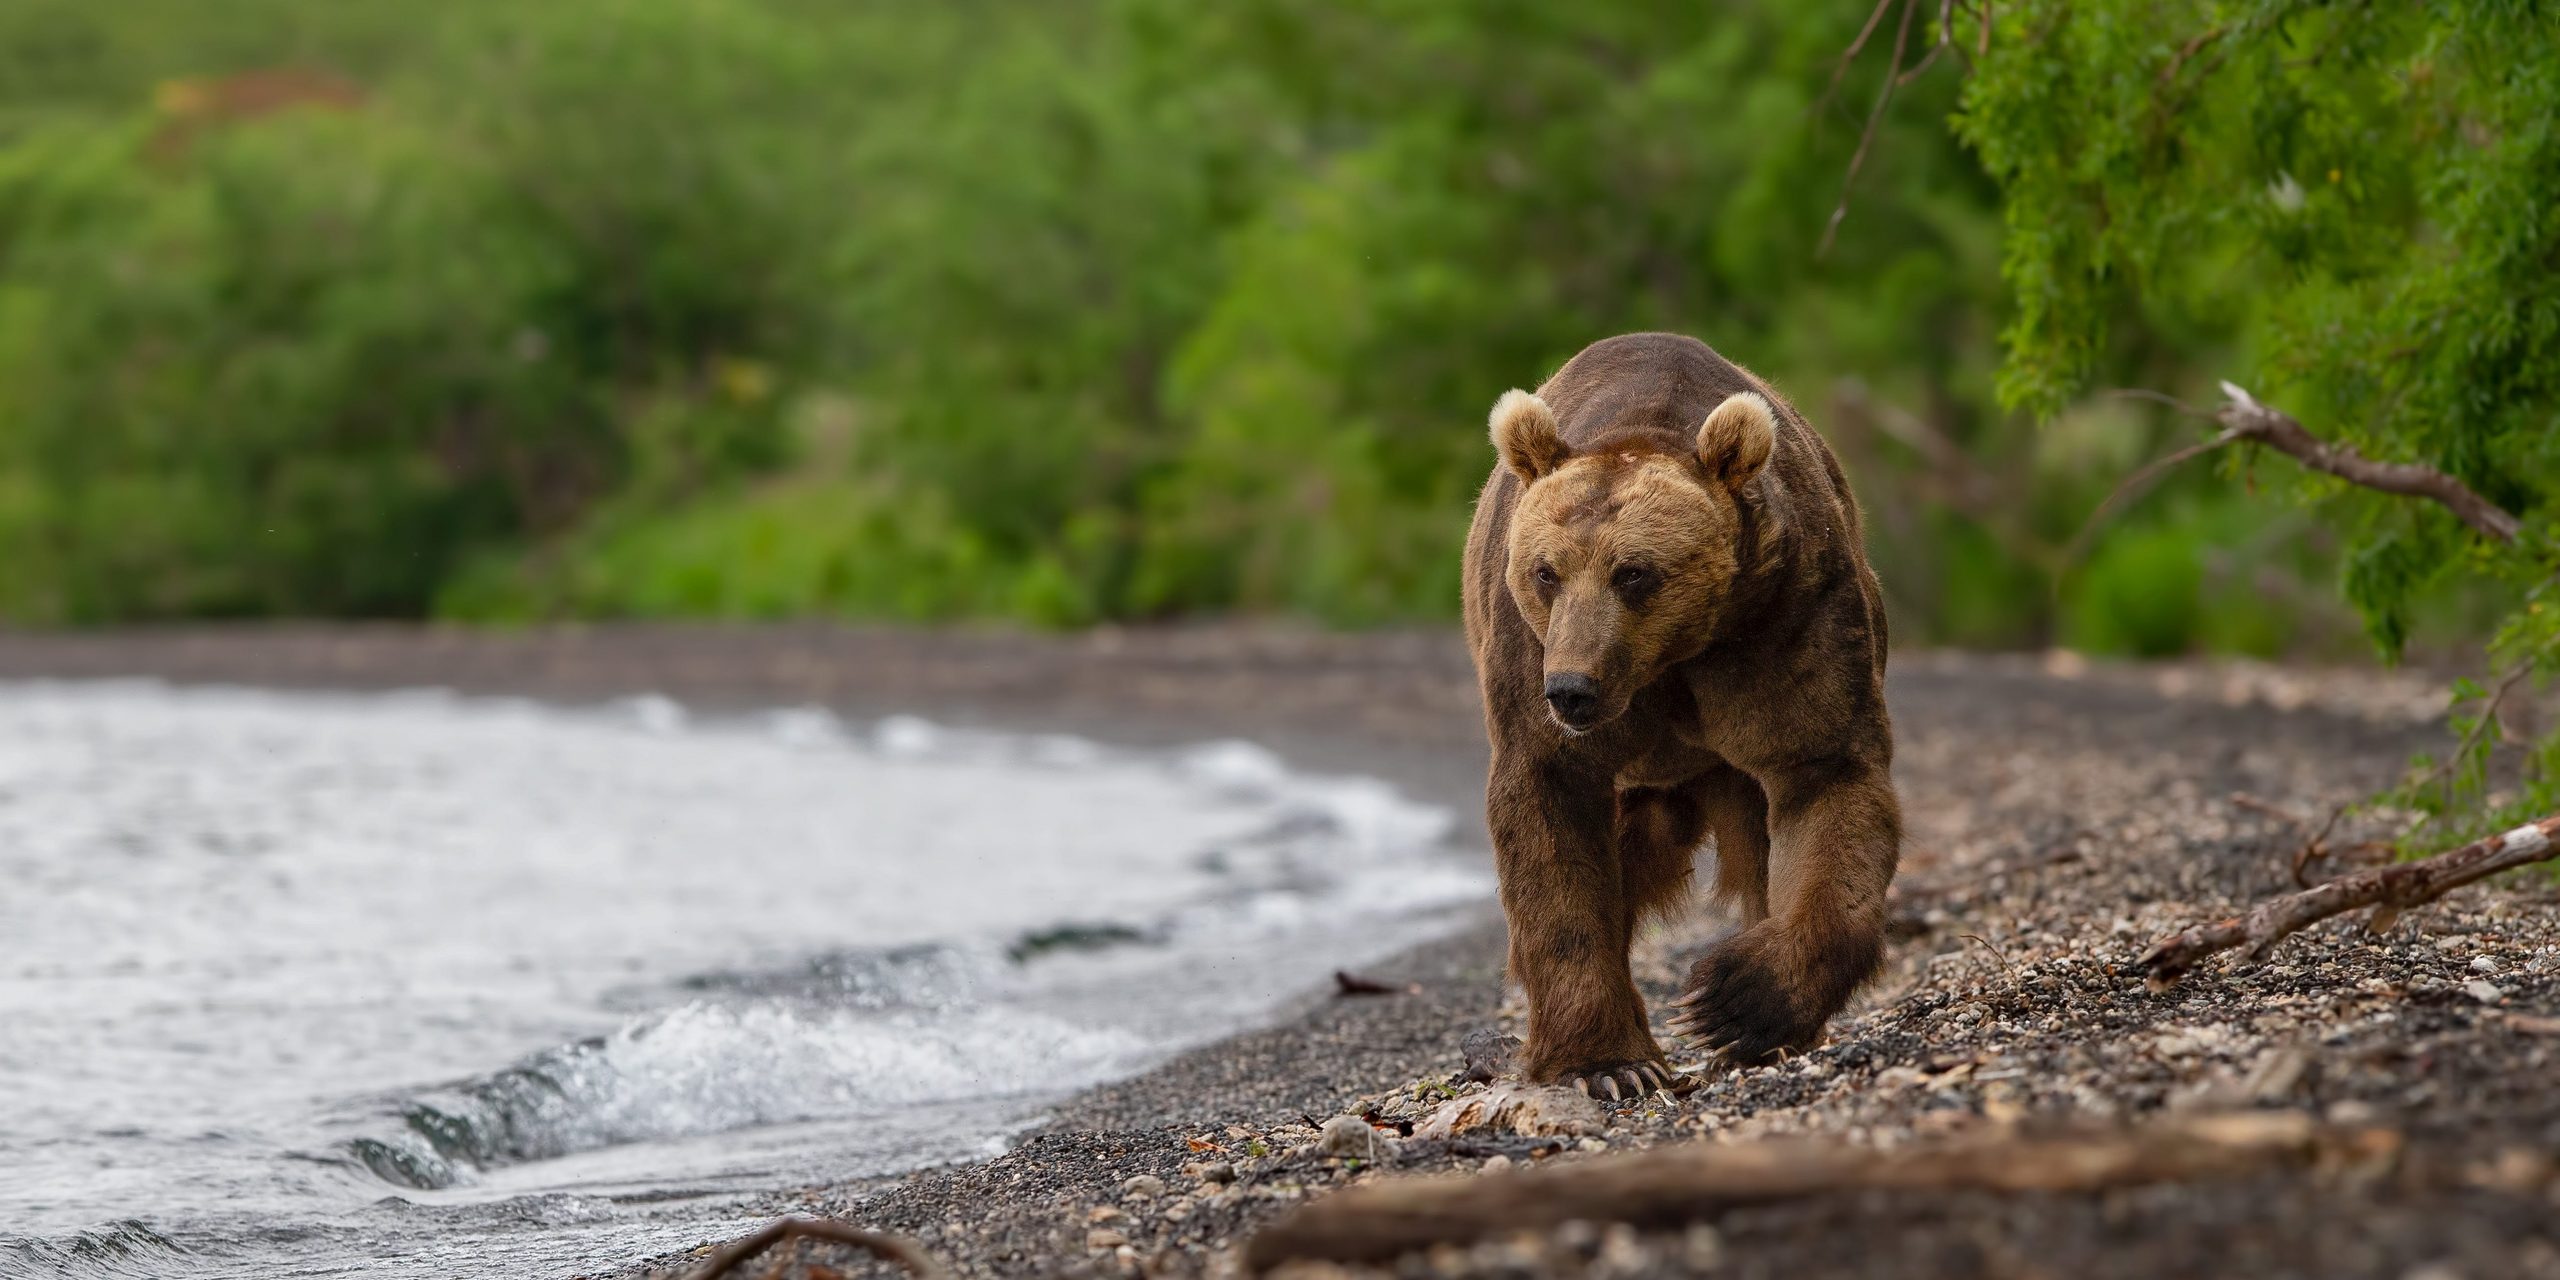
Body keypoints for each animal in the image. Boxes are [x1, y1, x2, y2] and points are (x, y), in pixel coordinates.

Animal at [1464, 327, 1904, 1090]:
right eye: (1546, 572)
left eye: (1634, 572)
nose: (1571, 688)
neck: (1668, 662)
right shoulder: (1528, 661)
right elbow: (1551, 822)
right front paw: (1608, 1063)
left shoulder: (1785, 621)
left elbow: (1826, 780)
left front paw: (1733, 1002)